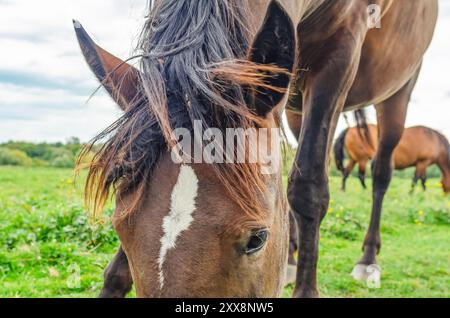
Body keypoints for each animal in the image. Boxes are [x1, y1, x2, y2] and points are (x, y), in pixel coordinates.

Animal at [75, 0, 438, 298]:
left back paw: (368, 258)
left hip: (397, 93)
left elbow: (309, 189)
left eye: (257, 239)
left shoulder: (341, 52)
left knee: (379, 173)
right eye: (120, 229)